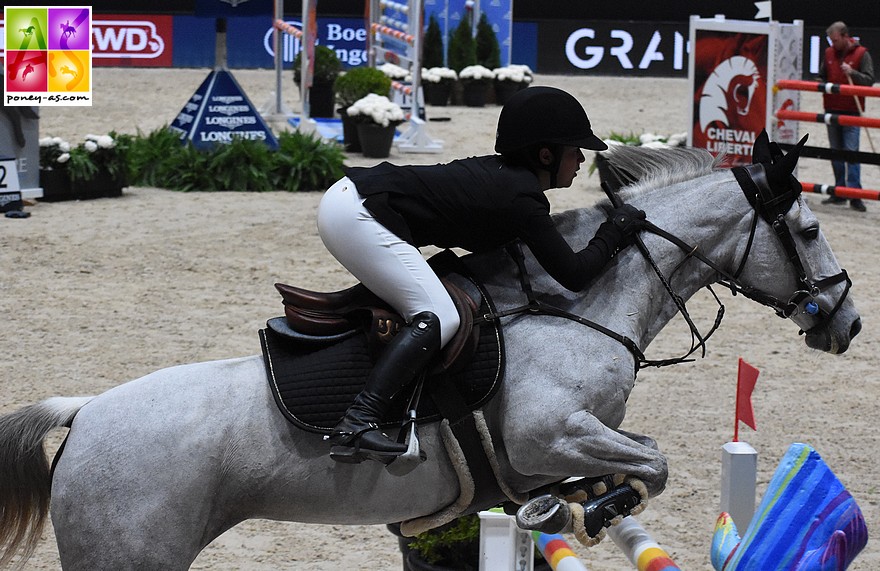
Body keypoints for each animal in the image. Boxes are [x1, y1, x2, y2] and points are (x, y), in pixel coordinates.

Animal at [0, 141, 860, 568]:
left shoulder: (560, 442)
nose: (847, 324)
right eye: (810, 229)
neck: (576, 306)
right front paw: (583, 507)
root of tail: (84, 413)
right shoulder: (543, 433)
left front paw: (573, 502)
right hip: (130, 554)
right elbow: (653, 462)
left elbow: (636, 461)